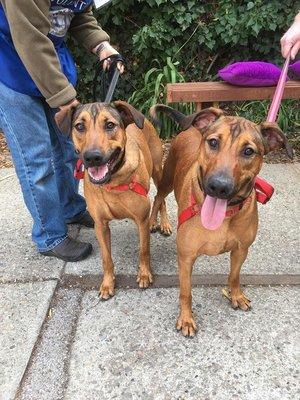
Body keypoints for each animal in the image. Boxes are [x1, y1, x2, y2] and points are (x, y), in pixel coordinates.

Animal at [54, 101, 170, 298]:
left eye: (109, 125)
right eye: (79, 126)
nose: (92, 157)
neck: (112, 181)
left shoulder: (141, 220)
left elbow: (144, 250)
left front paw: (144, 274)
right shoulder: (100, 225)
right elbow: (106, 258)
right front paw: (107, 283)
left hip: (157, 171)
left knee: (160, 198)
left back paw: (164, 223)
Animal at [150, 104, 292, 336]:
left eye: (248, 151)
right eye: (214, 142)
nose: (218, 186)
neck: (224, 216)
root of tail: (191, 127)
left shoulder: (241, 249)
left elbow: (234, 275)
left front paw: (236, 295)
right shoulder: (186, 258)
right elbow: (186, 292)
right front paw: (186, 318)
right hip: (167, 179)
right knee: (158, 198)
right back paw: (156, 221)